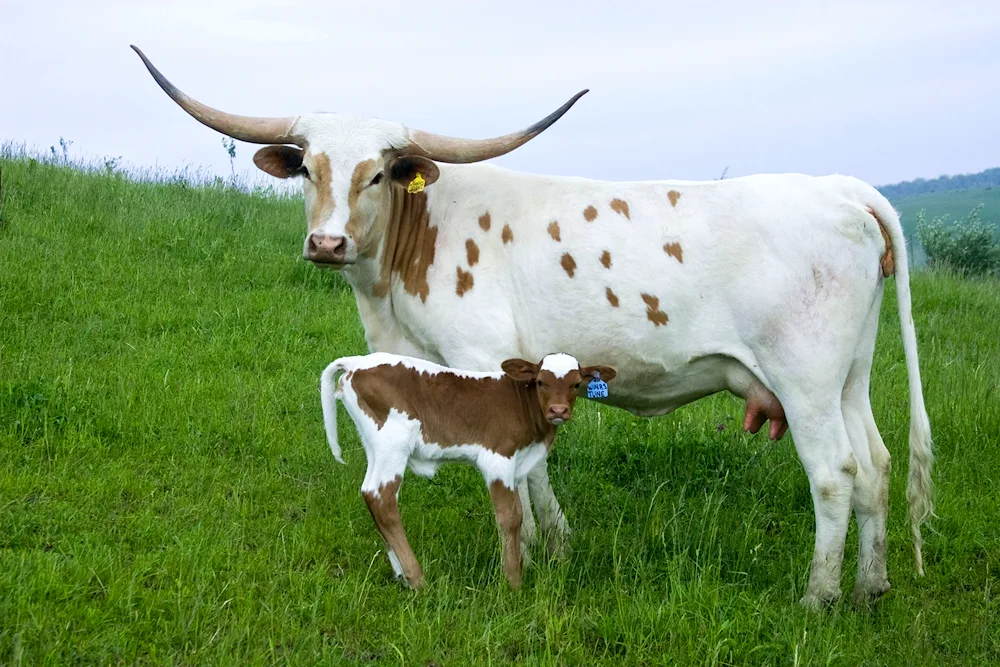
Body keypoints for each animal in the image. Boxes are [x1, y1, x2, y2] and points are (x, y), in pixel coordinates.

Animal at [320, 352, 616, 588]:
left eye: (576, 384)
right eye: (541, 381)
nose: (558, 410)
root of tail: (356, 362)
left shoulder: (518, 466)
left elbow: (521, 514)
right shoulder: (497, 459)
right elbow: (510, 517)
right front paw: (513, 580)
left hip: (376, 446)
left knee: (370, 495)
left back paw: (402, 574)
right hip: (393, 443)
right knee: (381, 498)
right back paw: (417, 579)